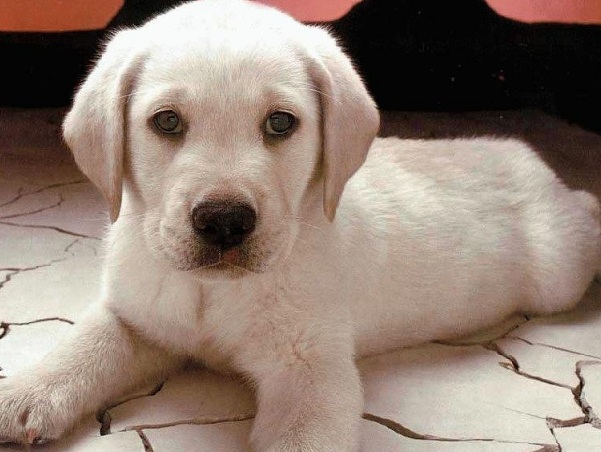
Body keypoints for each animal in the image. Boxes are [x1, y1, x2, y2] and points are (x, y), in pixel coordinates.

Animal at [1, 0, 600, 450]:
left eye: (280, 123)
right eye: (166, 121)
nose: (224, 223)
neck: (213, 293)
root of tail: (529, 156)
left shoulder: (311, 374)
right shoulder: (137, 317)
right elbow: (82, 346)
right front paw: (23, 393)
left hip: (557, 273)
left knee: (583, 218)